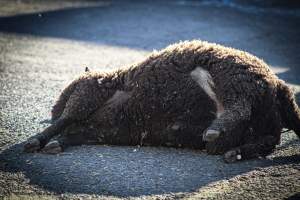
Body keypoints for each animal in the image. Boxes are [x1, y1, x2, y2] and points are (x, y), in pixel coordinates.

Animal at [24, 40, 300, 162]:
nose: (53, 109)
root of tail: (279, 86)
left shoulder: (87, 94)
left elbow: (64, 119)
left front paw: (35, 141)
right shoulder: (101, 131)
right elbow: (71, 134)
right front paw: (54, 144)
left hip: (232, 77)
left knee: (240, 107)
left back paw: (214, 132)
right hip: (265, 119)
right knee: (269, 140)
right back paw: (234, 152)